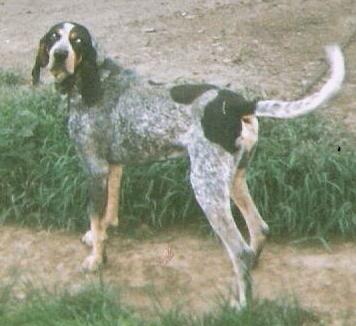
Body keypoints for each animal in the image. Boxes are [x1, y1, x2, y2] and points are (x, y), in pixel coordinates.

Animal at [32, 21, 344, 306]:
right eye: (54, 38)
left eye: (77, 40)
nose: (59, 55)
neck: (95, 79)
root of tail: (240, 104)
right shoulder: (114, 166)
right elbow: (109, 210)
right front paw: (103, 233)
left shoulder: (95, 168)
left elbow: (96, 219)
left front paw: (96, 259)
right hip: (233, 180)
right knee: (259, 228)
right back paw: (252, 268)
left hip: (205, 187)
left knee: (239, 250)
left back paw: (241, 304)